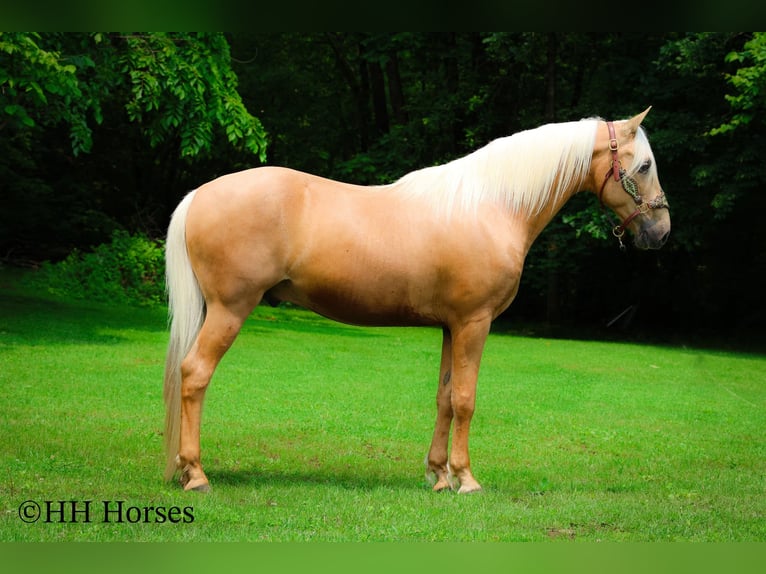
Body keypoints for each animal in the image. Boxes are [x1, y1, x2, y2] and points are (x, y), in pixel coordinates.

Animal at [163, 108, 670, 494]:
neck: (493, 205)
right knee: (195, 374)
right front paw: (466, 480)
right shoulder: (474, 323)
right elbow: (466, 398)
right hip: (230, 310)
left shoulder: (452, 326)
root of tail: (199, 194)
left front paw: (439, 476)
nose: (661, 232)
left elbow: (445, 397)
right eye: (644, 166)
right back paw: (196, 474)